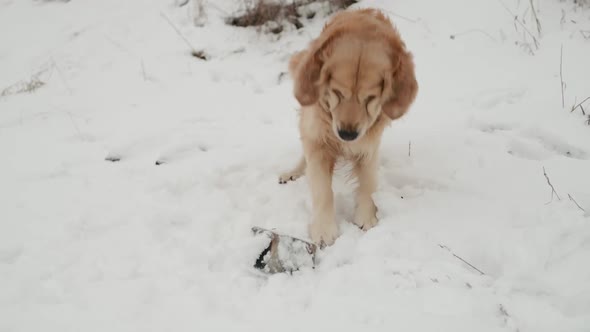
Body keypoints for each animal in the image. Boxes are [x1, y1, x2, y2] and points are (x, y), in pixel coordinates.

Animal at [280, 8, 418, 246]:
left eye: (370, 98)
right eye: (337, 93)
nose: (347, 134)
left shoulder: (369, 143)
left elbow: (369, 181)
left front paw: (367, 216)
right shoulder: (318, 140)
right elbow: (322, 189)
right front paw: (324, 229)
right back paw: (293, 172)